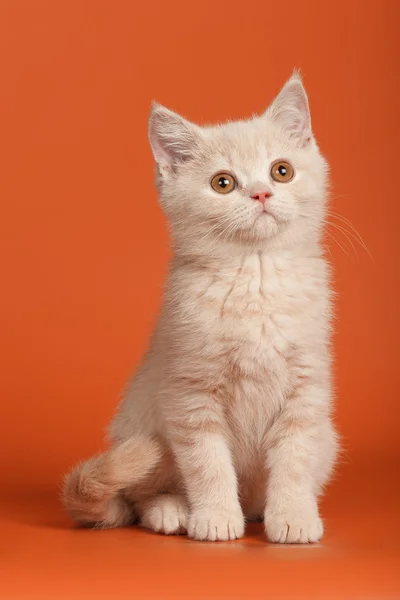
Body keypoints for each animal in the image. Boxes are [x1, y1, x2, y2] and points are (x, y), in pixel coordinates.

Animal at [62, 71, 338, 544]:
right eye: (223, 183)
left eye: (281, 171)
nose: (262, 194)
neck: (255, 276)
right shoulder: (190, 392)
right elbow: (208, 463)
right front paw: (215, 517)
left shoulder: (307, 389)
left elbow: (295, 459)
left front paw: (293, 515)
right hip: (141, 425)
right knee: (139, 495)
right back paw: (171, 510)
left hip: (329, 441)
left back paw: (259, 511)